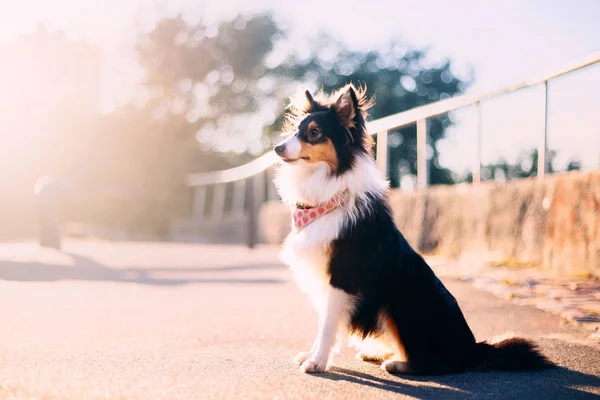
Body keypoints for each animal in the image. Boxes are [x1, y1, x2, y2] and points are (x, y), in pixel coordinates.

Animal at [274, 84, 552, 376]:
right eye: (296, 130)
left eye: (315, 132)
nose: (276, 148)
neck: (328, 194)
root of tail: (472, 349)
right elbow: (324, 324)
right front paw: (312, 354)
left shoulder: (341, 278)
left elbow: (328, 326)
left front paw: (317, 362)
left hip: (397, 304)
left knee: (435, 363)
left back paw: (397, 363)